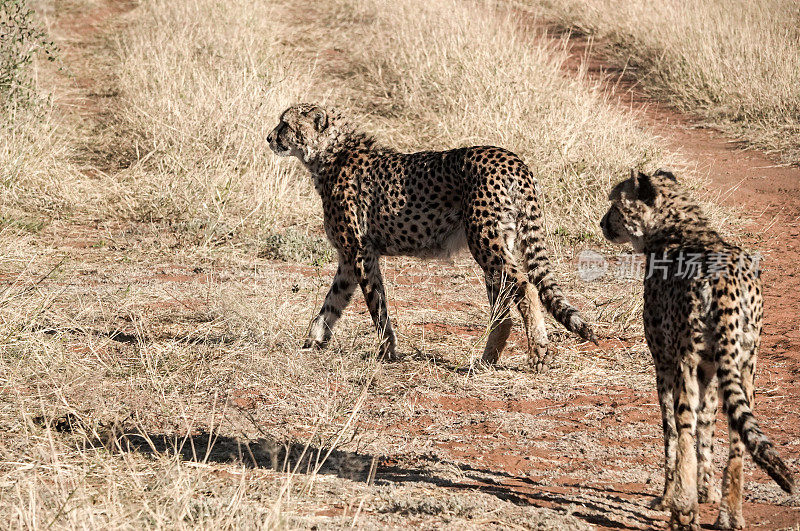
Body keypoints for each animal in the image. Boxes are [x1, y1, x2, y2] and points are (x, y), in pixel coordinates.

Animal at [268, 103, 592, 370]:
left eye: (285, 123)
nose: (269, 137)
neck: (331, 154)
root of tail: (513, 159)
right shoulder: (348, 259)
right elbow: (331, 303)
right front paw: (312, 341)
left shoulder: (361, 252)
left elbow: (376, 305)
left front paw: (386, 352)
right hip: (500, 242)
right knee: (502, 306)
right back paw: (486, 360)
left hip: (485, 241)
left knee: (525, 286)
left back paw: (538, 352)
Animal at [600, 170, 792, 531]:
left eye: (615, 205)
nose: (603, 223)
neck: (679, 227)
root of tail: (726, 281)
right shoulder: (712, 367)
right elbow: (709, 424)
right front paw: (706, 492)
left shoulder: (665, 362)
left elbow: (672, 432)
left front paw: (668, 497)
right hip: (746, 363)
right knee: (737, 437)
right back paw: (730, 514)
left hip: (685, 361)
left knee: (684, 425)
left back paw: (683, 511)